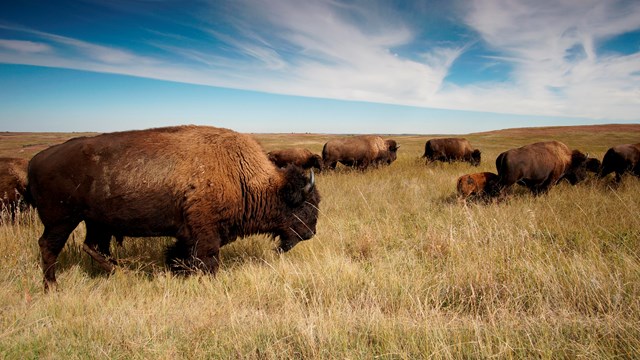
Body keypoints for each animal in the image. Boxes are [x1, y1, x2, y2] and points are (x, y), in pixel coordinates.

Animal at [28, 125, 322, 292]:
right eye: (306, 204)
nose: (311, 233)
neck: (241, 174)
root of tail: (37, 159)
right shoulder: (205, 233)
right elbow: (208, 259)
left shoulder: (187, 234)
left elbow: (179, 255)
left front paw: (176, 271)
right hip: (62, 220)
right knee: (49, 246)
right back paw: (52, 287)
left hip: (96, 222)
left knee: (93, 247)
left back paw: (119, 271)